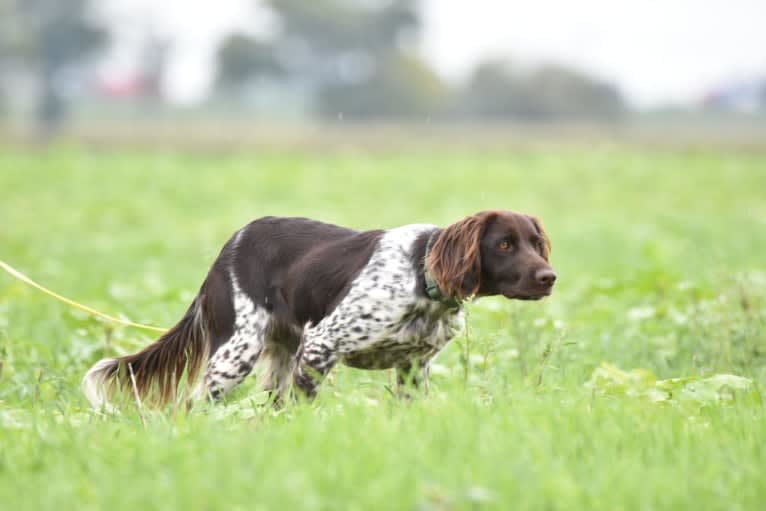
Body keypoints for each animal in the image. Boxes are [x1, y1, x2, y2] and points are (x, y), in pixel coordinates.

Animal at [84, 210, 556, 410]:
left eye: (536, 243)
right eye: (504, 244)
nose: (549, 277)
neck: (421, 274)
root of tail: (229, 246)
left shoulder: (412, 368)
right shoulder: (320, 345)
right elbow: (304, 407)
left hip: (277, 354)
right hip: (235, 354)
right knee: (194, 404)